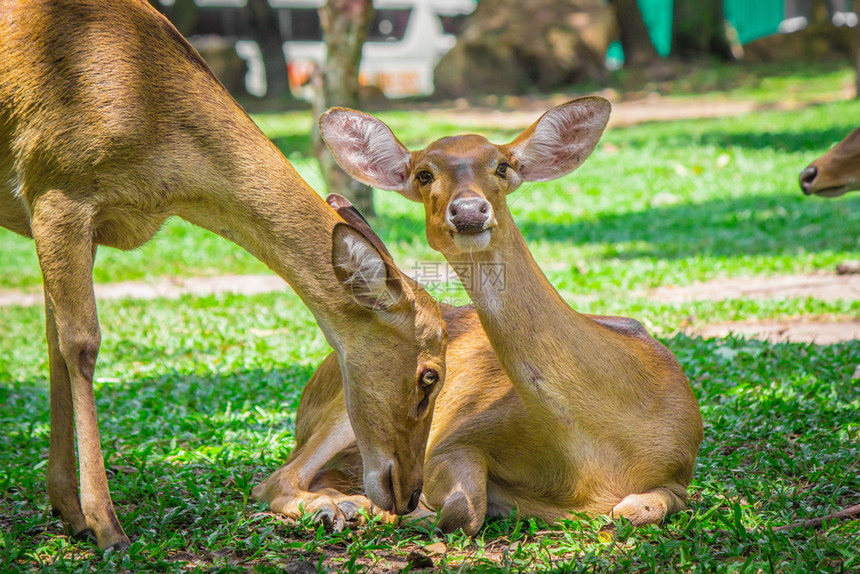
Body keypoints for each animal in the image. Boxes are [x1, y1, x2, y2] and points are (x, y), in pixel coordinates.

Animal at [0, 0, 446, 552]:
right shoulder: (55, 189)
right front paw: (106, 524)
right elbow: (80, 345)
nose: (409, 493)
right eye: (429, 376)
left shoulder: (60, 220)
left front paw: (69, 511)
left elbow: (53, 345)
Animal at [252, 95, 704, 536]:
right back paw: (337, 509)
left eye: (502, 165)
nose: (469, 210)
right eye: (424, 174)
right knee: (275, 480)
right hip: (351, 402)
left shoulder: (680, 468)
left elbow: (637, 509)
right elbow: (464, 509)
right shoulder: (457, 436)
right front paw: (415, 511)